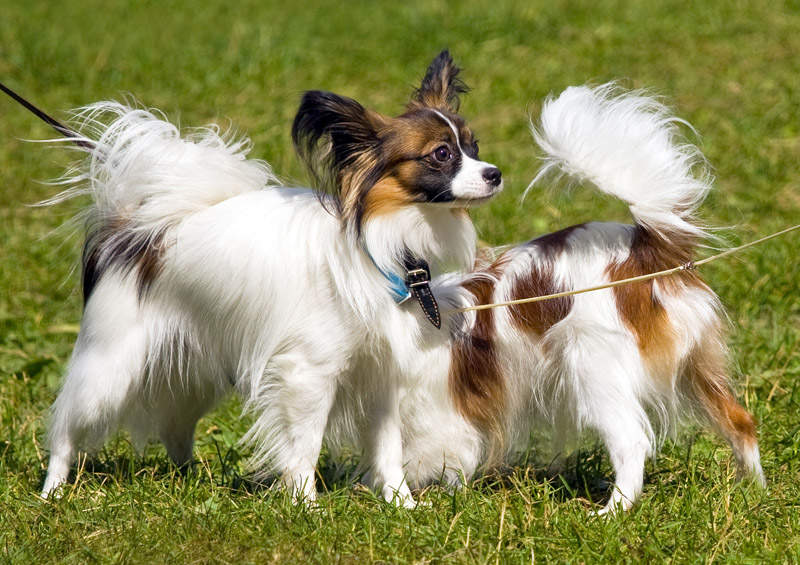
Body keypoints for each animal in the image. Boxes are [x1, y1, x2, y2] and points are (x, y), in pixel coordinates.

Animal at [40, 50, 504, 504]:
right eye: (442, 154)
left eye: (474, 146)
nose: (495, 173)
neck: (379, 244)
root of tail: (137, 229)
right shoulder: (308, 373)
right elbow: (305, 446)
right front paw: (305, 506)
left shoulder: (382, 376)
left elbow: (388, 449)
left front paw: (400, 504)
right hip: (109, 368)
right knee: (66, 429)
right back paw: (53, 492)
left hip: (192, 373)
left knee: (176, 428)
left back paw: (191, 480)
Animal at [384, 83, 764, 512]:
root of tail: (649, 250)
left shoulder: (440, 416)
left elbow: (432, 457)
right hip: (696, 369)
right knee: (740, 422)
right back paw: (756, 491)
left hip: (594, 366)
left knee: (632, 442)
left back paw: (612, 511)